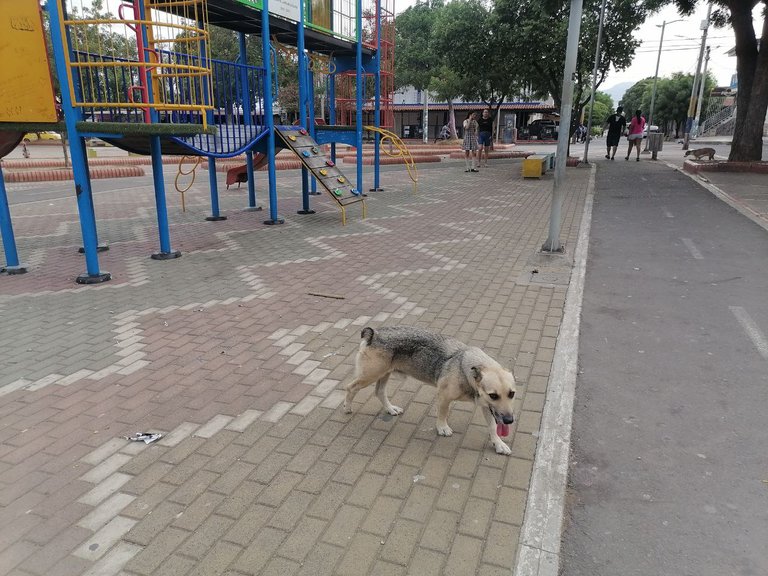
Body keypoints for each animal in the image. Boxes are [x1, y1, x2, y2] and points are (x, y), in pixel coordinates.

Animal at [344, 328, 520, 454]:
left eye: (512, 394)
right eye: (493, 395)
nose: (509, 420)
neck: (465, 369)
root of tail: (374, 334)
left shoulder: (486, 407)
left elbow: (492, 427)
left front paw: (498, 443)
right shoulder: (444, 397)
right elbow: (442, 414)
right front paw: (442, 428)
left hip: (383, 374)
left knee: (379, 392)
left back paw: (390, 409)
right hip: (370, 376)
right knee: (350, 387)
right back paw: (347, 407)